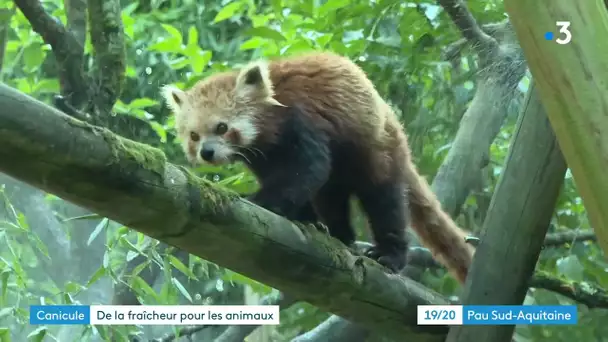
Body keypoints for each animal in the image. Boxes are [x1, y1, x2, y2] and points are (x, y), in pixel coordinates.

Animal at [162, 52, 476, 284]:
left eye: (222, 127)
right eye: (194, 136)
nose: (207, 152)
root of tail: (392, 121)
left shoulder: (301, 118)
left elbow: (308, 168)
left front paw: (260, 200)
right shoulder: (262, 155)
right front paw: (303, 217)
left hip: (378, 151)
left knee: (384, 202)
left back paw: (389, 254)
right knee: (331, 197)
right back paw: (338, 233)